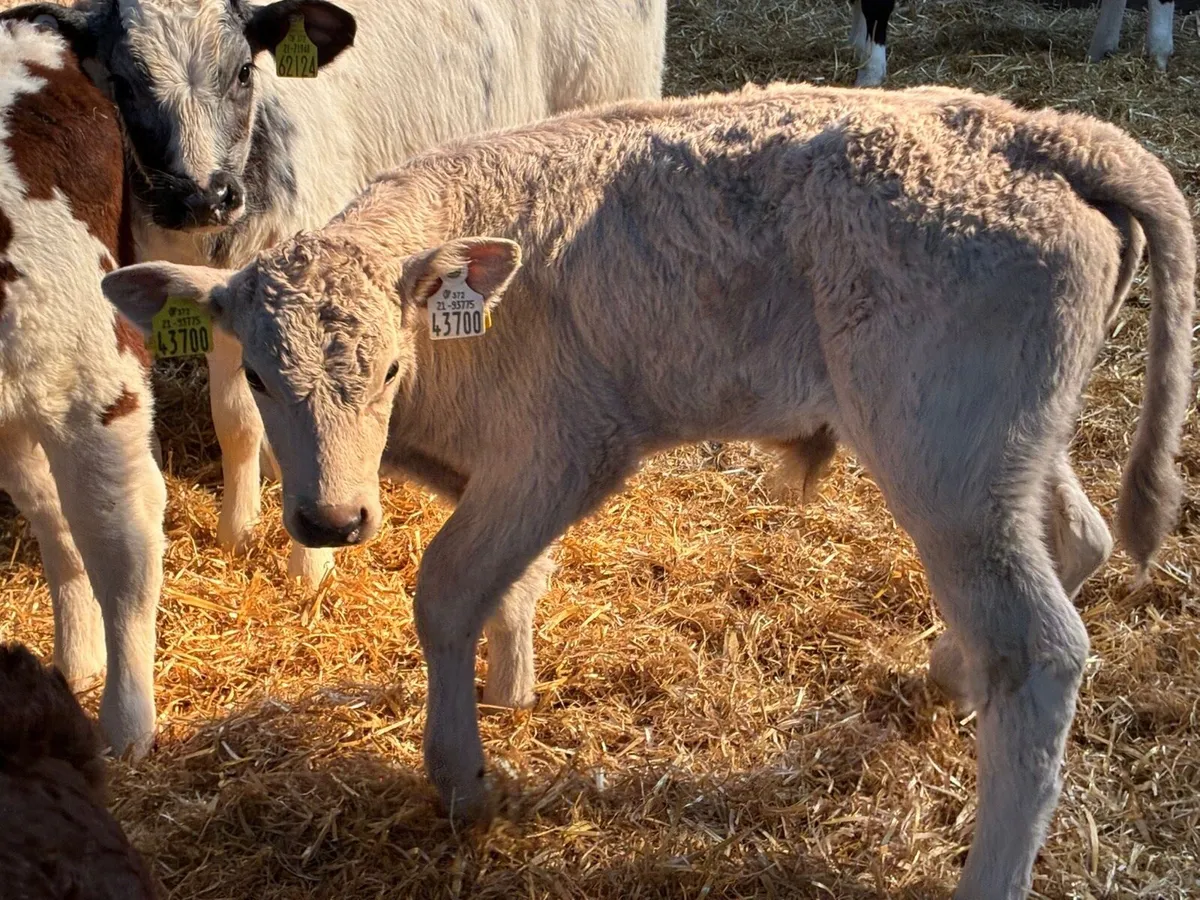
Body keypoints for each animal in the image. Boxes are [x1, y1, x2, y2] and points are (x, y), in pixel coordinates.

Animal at [1, 0, 668, 587]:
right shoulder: (218, 301)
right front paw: (239, 527)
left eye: (244, 71)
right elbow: (236, 417)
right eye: (121, 82)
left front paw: (310, 567)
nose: (203, 196)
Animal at [102, 80, 1195, 898]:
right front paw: (512, 688)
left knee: (1039, 650)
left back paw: (988, 859)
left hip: (947, 462)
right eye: (257, 375)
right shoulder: (505, 470)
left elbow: (449, 591)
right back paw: (949, 671)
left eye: (390, 369)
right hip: (1010, 452)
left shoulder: (567, 448)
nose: (331, 518)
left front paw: (461, 776)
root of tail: (1044, 129)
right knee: (1078, 541)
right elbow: (513, 583)